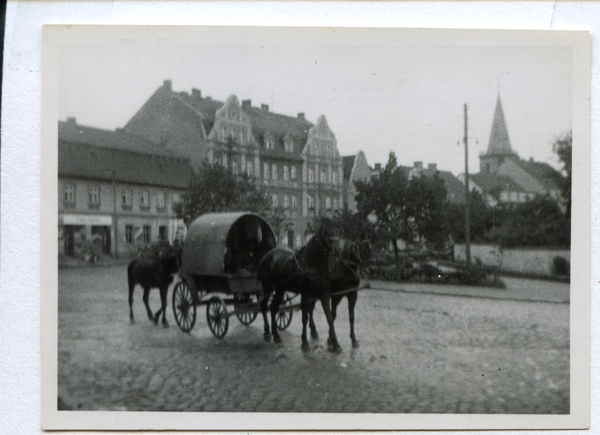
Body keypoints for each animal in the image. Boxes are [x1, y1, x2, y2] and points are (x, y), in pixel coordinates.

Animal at [258, 218, 346, 354]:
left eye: (339, 232)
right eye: (327, 232)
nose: (337, 250)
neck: (314, 263)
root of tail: (267, 255)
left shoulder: (324, 294)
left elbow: (329, 317)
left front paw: (335, 344)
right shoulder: (305, 294)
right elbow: (305, 317)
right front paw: (304, 343)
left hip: (279, 289)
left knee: (273, 308)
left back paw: (276, 335)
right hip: (267, 286)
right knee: (264, 306)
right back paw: (267, 332)